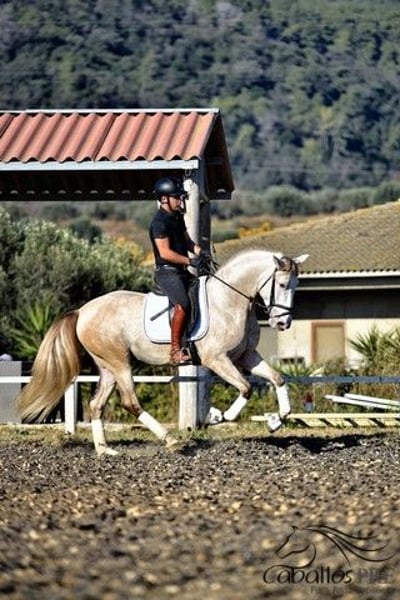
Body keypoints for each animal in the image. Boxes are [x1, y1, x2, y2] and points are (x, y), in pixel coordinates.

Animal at [17, 248, 308, 455]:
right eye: (283, 285)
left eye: (296, 286)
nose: (282, 324)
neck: (229, 301)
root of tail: (82, 311)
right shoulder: (217, 359)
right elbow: (246, 388)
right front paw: (216, 416)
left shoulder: (246, 356)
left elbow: (278, 378)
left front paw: (275, 420)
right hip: (120, 362)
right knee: (130, 403)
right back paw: (170, 441)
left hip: (107, 366)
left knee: (97, 405)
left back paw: (105, 450)